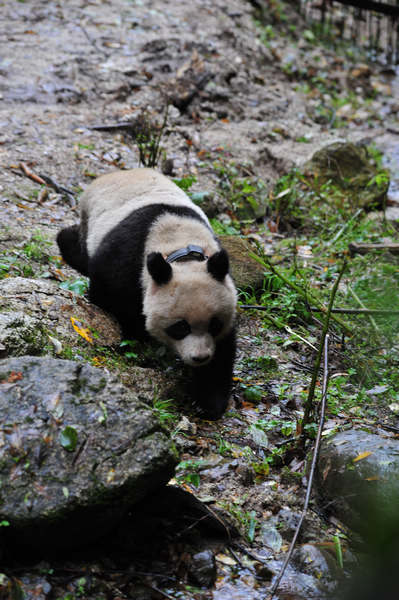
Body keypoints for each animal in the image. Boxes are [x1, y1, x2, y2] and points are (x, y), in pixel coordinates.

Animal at [56, 169, 238, 418]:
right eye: (180, 327)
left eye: (214, 325)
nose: (200, 357)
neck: (180, 250)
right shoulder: (125, 260)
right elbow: (109, 297)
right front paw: (135, 336)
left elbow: (223, 349)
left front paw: (208, 401)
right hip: (90, 220)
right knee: (75, 244)